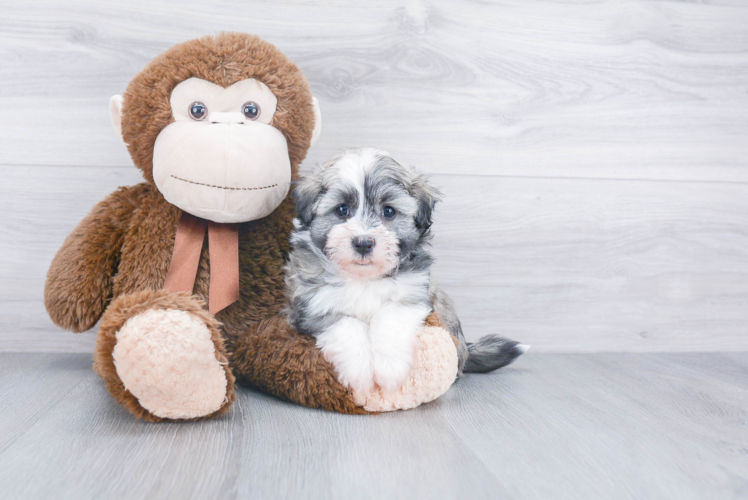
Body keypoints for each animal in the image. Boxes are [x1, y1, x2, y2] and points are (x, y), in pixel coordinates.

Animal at [284, 148, 524, 394]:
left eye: (389, 211)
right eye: (342, 209)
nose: (363, 242)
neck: (365, 279)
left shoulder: (412, 295)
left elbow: (390, 320)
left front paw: (389, 372)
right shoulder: (314, 304)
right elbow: (346, 326)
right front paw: (359, 374)